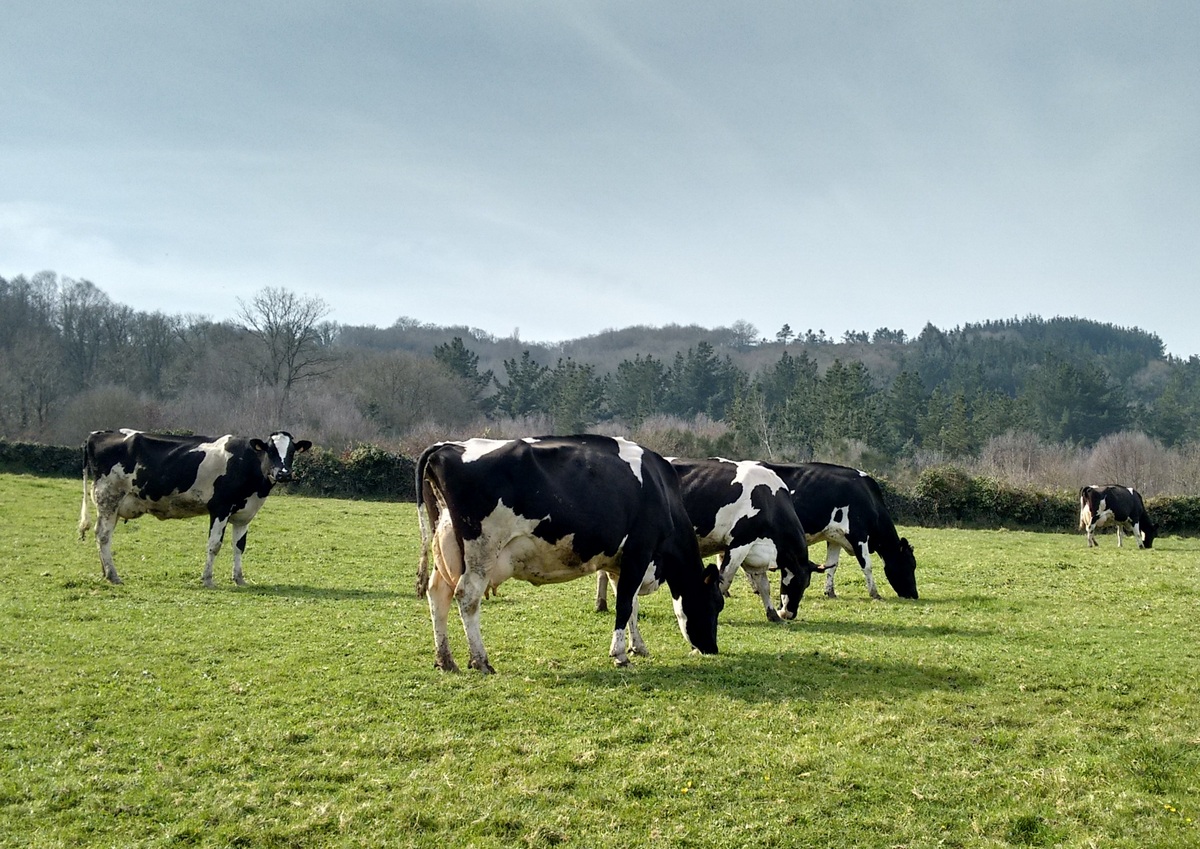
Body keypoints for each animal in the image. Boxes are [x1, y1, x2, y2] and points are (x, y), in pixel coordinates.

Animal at [76, 426, 309, 587]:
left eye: (292, 452)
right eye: (269, 450)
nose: (284, 473)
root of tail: (97, 434)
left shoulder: (244, 514)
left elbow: (239, 547)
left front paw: (239, 579)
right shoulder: (220, 508)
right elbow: (214, 545)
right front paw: (207, 579)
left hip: (112, 505)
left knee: (101, 535)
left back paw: (105, 572)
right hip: (108, 498)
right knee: (103, 536)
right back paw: (113, 575)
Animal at [412, 434, 720, 671]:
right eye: (715, 605)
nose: (712, 649)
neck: (662, 490)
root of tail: (447, 446)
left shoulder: (620, 562)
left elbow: (630, 604)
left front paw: (638, 647)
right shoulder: (640, 550)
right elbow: (624, 604)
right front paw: (620, 655)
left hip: (447, 547)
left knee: (438, 594)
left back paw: (445, 659)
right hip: (481, 550)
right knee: (467, 597)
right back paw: (481, 661)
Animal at [595, 458, 820, 623]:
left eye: (807, 584)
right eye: (800, 583)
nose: (790, 614)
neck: (769, 498)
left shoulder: (755, 552)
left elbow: (763, 585)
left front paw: (773, 614)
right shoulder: (739, 544)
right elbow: (725, 579)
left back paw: (601, 604)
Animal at [763, 460, 921, 599]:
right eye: (910, 564)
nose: (914, 595)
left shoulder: (834, 537)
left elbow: (832, 565)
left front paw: (830, 592)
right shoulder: (859, 535)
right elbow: (867, 565)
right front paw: (875, 594)